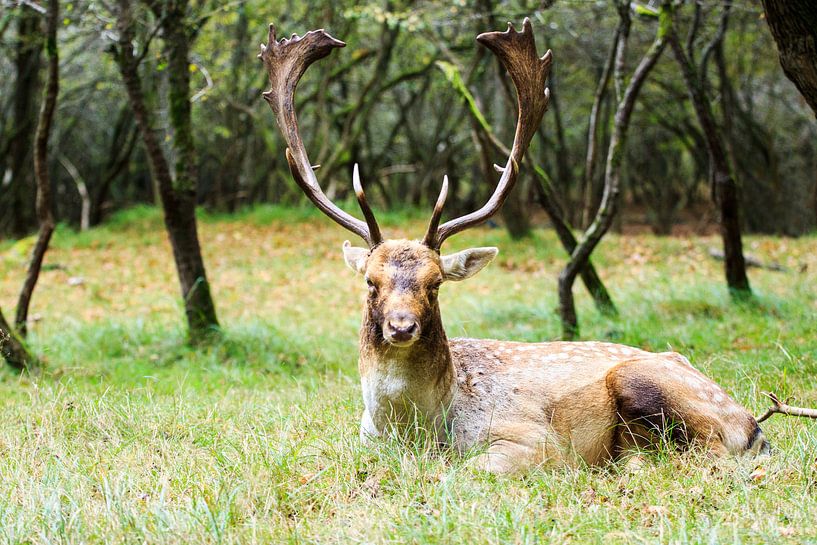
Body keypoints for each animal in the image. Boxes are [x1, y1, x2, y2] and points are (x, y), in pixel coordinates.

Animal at [258, 19, 770, 474]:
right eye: (370, 281)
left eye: (435, 283)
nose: (401, 326)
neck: (411, 434)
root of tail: (753, 425)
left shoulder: (532, 440)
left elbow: (463, 472)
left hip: (652, 386)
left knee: (709, 457)